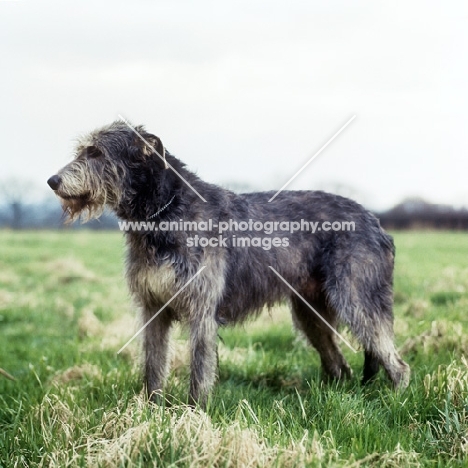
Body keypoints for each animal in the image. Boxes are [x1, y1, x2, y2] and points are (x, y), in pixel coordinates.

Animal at [48, 120, 410, 406]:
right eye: (83, 150)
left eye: (96, 152)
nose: (53, 181)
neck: (165, 212)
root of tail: (376, 222)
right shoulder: (153, 308)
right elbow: (153, 366)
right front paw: (149, 413)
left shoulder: (202, 309)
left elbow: (200, 369)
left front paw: (193, 416)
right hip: (311, 310)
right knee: (339, 365)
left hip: (357, 297)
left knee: (394, 360)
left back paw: (397, 403)